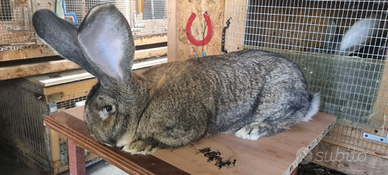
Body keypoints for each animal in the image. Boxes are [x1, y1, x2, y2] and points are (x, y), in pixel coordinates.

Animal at [32, 3, 318, 154]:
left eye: (107, 109)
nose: (104, 142)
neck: (144, 104)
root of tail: (307, 96)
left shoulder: (188, 124)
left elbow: (170, 138)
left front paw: (139, 145)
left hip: (276, 100)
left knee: (285, 121)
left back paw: (253, 130)